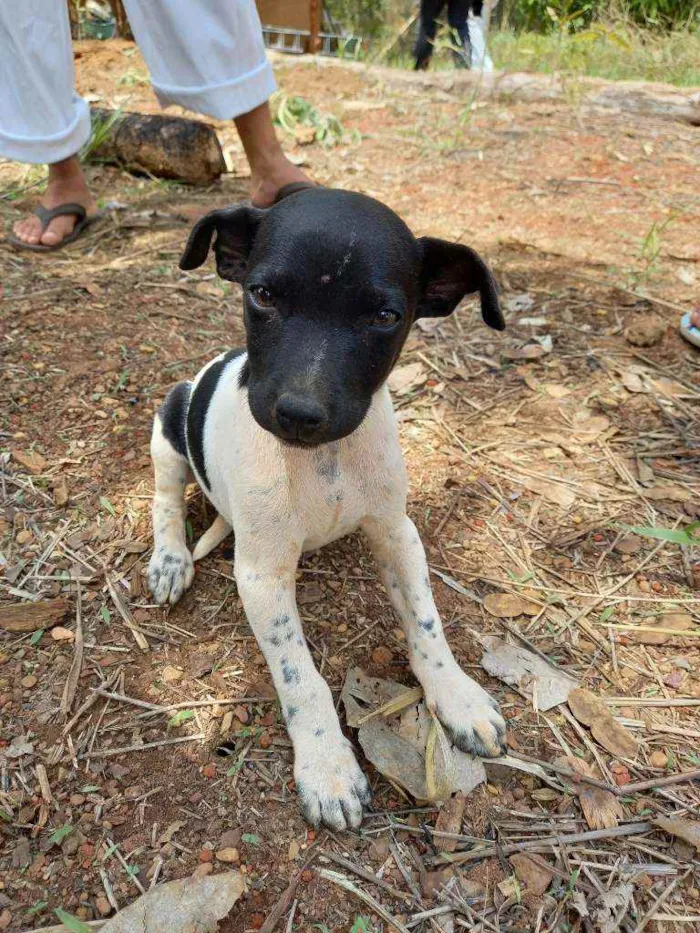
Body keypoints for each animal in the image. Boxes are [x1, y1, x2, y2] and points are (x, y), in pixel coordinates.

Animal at [149, 186, 508, 828]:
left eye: (385, 317)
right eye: (262, 295)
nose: (298, 413)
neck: (325, 463)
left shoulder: (396, 533)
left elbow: (427, 623)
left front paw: (457, 696)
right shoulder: (262, 574)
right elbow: (300, 676)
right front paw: (327, 766)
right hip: (169, 419)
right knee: (164, 499)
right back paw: (169, 561)